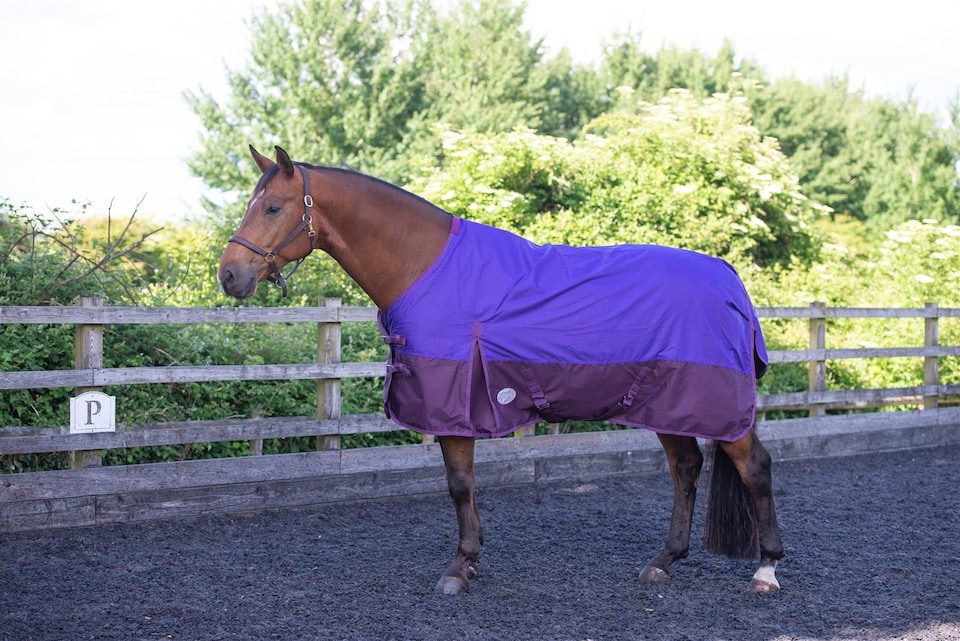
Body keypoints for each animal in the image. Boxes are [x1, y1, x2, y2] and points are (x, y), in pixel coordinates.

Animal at [218, 145, 784, 595]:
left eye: (273, 206)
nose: (229, 275)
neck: (425, 266)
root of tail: (730, 279)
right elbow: (464, 484)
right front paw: (470, 562)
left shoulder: (453, 409)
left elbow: (459, 484)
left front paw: (459, 567)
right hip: (668, 406)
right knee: (686, 469)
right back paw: (664, 562)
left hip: (710, 406)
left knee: (754, 467)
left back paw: (766, 570)